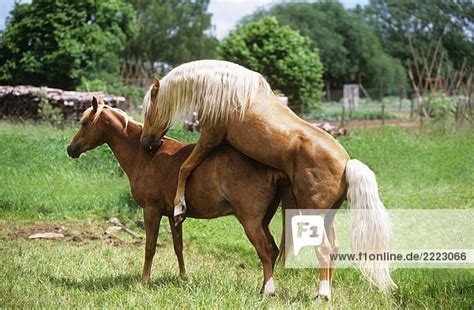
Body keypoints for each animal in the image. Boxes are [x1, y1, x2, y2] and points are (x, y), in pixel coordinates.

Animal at [66, 98, 288, 296]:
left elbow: (150, 247)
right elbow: (178, 247)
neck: (146, 156)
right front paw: (183, 277)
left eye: (84, 123)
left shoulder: (151, 211)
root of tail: (269, 168)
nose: (70, 149)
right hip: (263, 222)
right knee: (273, 250)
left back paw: (267, 291)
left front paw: (144, 280)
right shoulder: (174, 217)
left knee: (265, 251)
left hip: (250, 222)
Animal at [140, 59, 396, 300]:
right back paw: (322, 292)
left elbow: (184, 168)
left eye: (147, 111)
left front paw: (179, 207)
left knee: (323, 249)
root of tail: (346, 163)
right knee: (333, 248)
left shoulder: (211, 137)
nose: (146, 144)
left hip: (313, 215)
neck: (222, 88)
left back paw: (322, 295)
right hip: (327, 216)